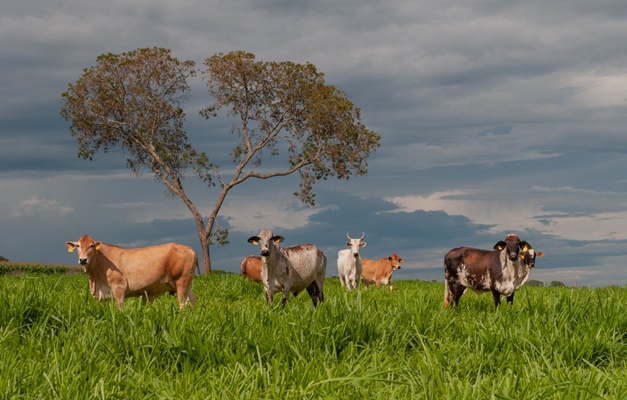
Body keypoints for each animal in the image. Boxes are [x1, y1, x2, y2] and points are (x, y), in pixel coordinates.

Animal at [65, 234, 196, 310]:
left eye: (91, 245)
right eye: (78, 246)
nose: (83, 259)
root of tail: (189, 248)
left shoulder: (119, 288)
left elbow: (120, 308)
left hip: (181, 283)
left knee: (183, 304)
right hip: (187, 285)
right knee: (193, 301)